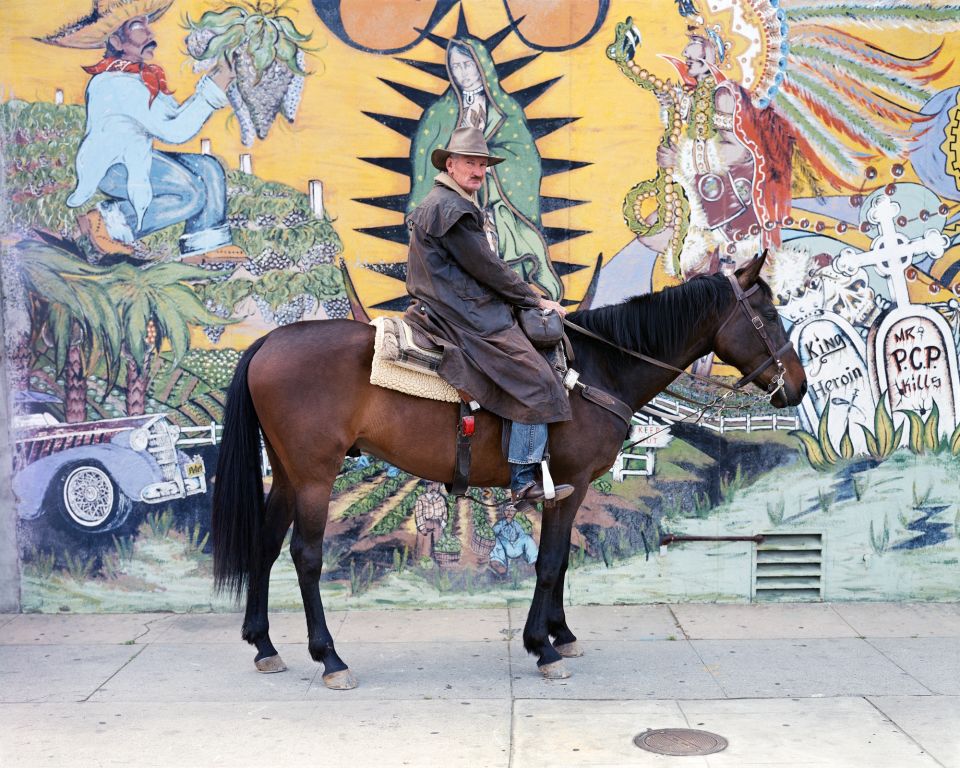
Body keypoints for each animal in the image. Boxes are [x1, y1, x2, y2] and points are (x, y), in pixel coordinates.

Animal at [214, 254, 808, 688]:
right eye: (769, 315)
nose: (798, 387)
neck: (600, 368)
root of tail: (269, 340)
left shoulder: (568, 488)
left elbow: (561, 561)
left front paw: (560, 633)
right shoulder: (567, 484)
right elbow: (548, 564)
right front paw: (541, 647)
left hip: (287, 473)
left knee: (266, 545)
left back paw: (263, 645)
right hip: (316, 474)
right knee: (305, 555)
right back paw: (330, 658)